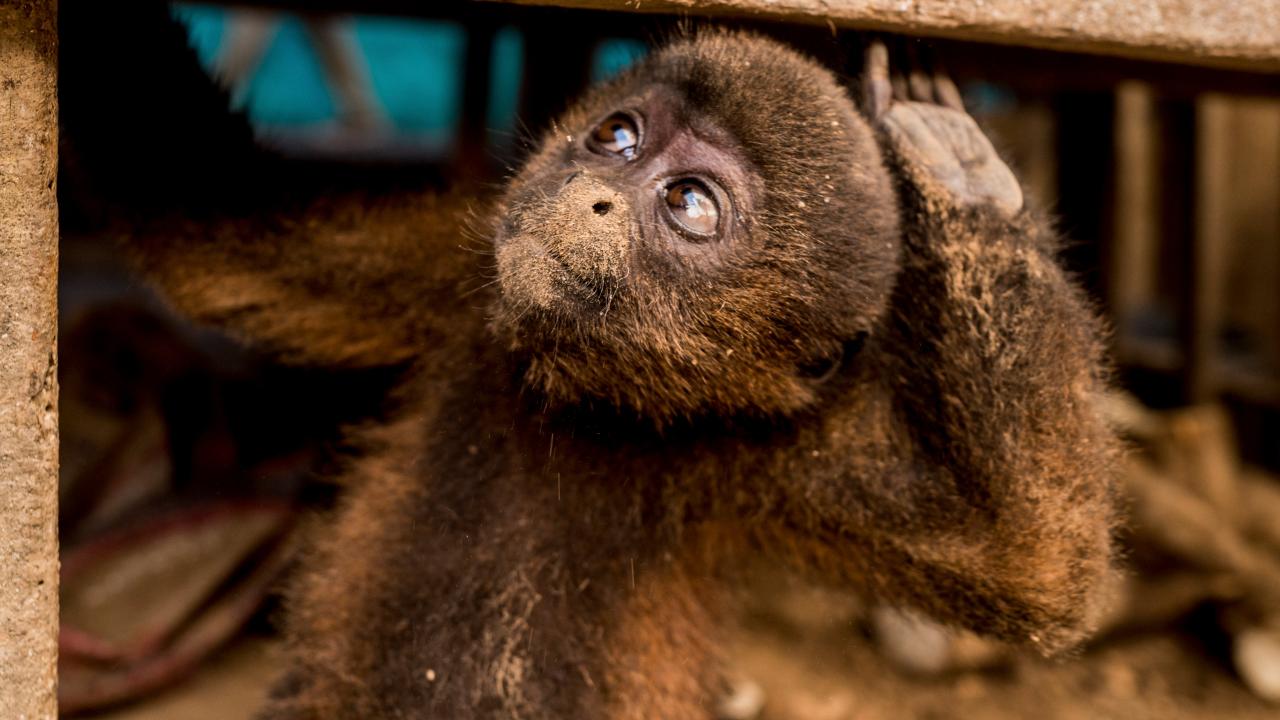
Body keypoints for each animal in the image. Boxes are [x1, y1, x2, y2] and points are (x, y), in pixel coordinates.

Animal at [127, 29, 1121, 717]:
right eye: (618, 136)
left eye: (689, 203)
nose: (597, 191)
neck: (578, 399)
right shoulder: (454, 274)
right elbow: (206, 234)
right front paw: (949, 156)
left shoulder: (757, 452)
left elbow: (1034, 565)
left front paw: (963, 180)